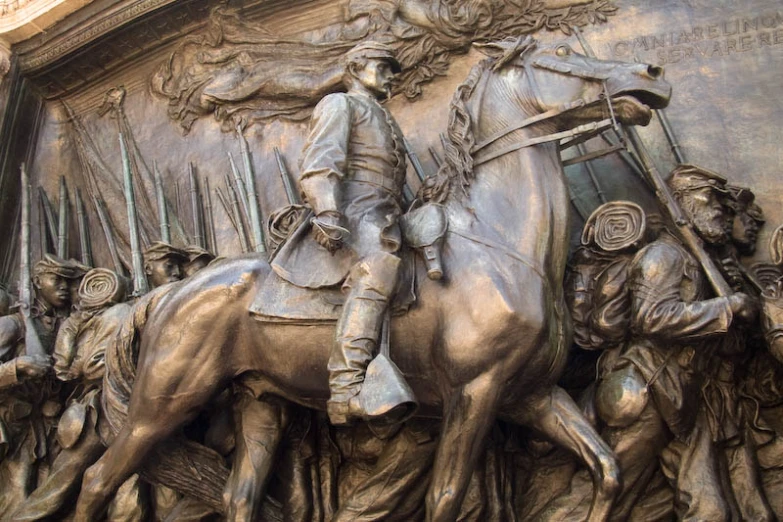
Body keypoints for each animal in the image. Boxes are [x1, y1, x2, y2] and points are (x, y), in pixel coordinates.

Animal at [76, 34, 672, 516]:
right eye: (563, 54)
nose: (652, 73)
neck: (499, 240)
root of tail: (171, 293)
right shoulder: (475, 392)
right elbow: (445, 497)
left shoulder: (534, 394)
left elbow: (607, 470)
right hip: (165, 400)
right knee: (98, 478)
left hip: (261, 402)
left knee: (238, 496)